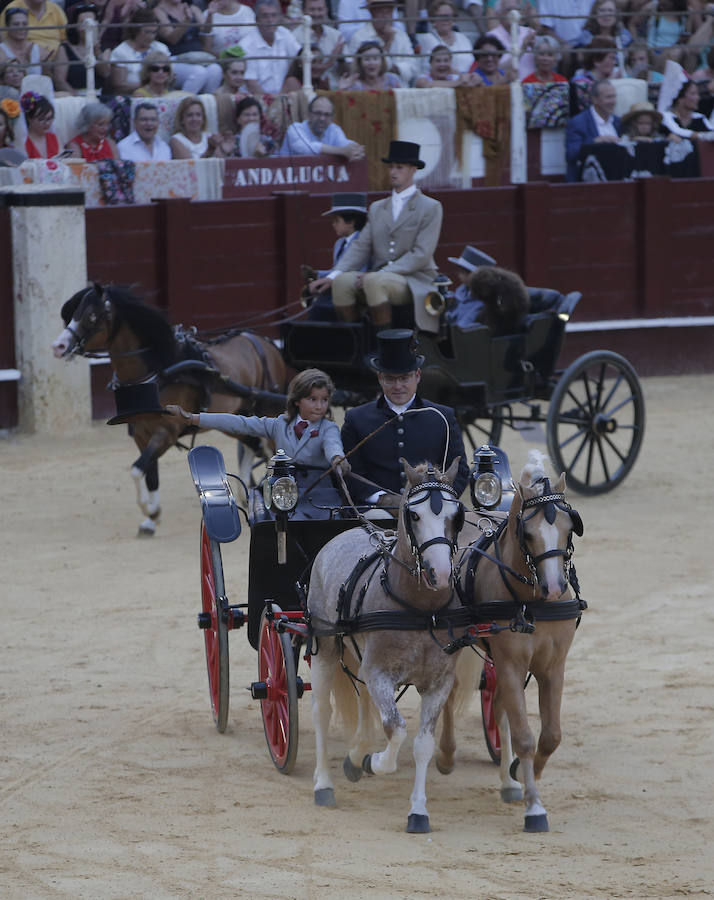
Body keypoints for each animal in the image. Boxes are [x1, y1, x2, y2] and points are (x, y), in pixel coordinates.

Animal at [50, 282, 286, 536]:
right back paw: (246, 494)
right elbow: (149, 474)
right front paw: (151, 518)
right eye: (72, 313)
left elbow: (137, 469)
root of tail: (264, 342)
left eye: (92, 315)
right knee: (252, 444)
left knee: (266, 445)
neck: (156, 372)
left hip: (265, 411)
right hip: (233, 417)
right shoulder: (141, 434)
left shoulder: (166, 432)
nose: (58, 347)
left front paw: (150, 510)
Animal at [440, 454, 584, 832]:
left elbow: (550, 736)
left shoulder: (552, 668)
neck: (530, 602)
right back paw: (445, 755)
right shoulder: (510, 665)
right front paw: (534, 808)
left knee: (498, 706)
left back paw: (507, 780)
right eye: (528, 534)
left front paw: (521, 772)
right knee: (448, 692)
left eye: (569, 528)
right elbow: (524, 736)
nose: (554, 588)